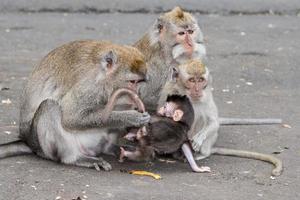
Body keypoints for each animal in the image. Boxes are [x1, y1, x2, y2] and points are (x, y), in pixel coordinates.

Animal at [0, 40, 151, 170]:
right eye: (132, 82)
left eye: (140, 82)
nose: (137, 93)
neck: (103, 76)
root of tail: (29, 143)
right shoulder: (89, 86)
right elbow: (71, 118)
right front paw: (131, 117)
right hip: (43, 145)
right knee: (49, 106)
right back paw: (75, 158)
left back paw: (111, 148)